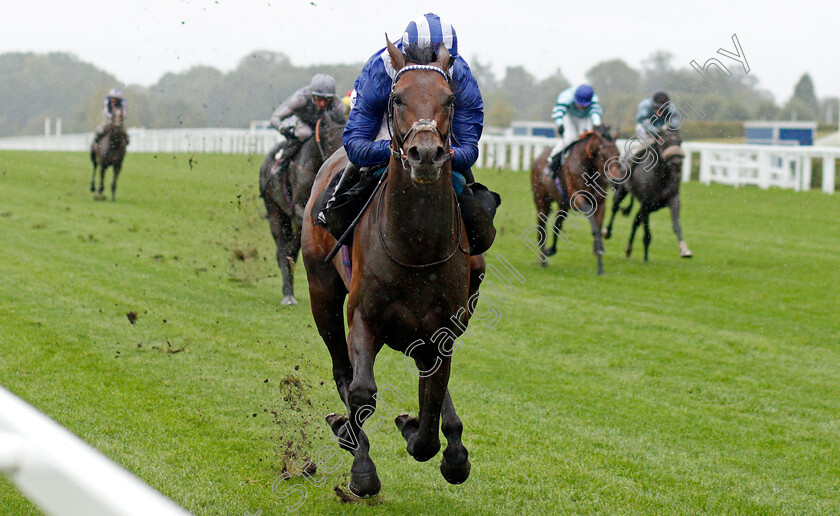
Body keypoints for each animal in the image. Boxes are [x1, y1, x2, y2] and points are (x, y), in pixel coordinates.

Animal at [302, 40, 482, 496]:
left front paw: (423, 434)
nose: (426, 153)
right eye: (397, 98)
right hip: (321, 292)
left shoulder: (442, 328)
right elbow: (362, 391)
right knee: (342, 369)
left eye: (449, 99)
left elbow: (432, 400)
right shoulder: (363, 317)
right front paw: (361, 466)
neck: (415, 248)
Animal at [532, 126, 624, 274]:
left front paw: (600, 261)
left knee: (557, 224)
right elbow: (592, 219)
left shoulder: (600, 203)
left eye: (618, 154)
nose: (616, 181)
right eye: (603, 155)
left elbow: (598, 229)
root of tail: (538, 158)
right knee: (541, 230)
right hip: (542, 202)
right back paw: (543, 261)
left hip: (562, 205)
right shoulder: (577, 198)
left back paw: (550, 250)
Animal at [604, 127, 696, 260]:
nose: (676, 163)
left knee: (635, 221)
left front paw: (684, 249)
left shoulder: (673, 199)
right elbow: (647, 233)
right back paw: (607, 232)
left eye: (680, 141)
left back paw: (628, 249)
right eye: (663, 141)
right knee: (615, 208)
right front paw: (645, 258)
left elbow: (676, 224)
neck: (660, 177)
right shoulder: (645, 204)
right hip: (622, 191)